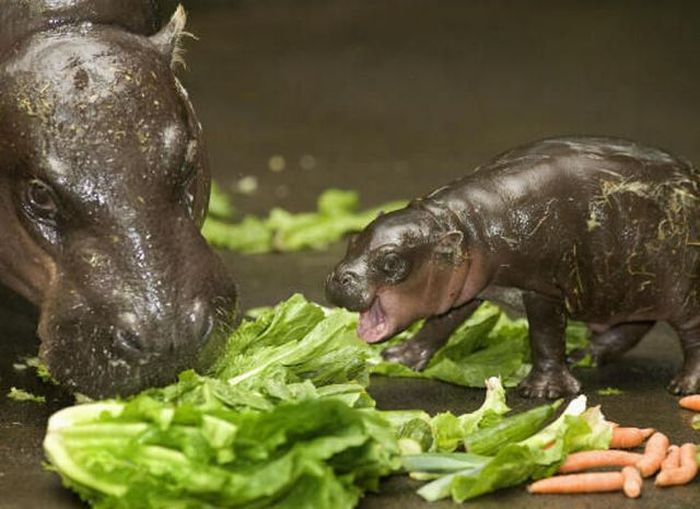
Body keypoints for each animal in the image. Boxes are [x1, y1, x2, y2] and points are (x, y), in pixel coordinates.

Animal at [326, 137, 700, 398]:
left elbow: (545, 337)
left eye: (391, 262)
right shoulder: (465, 287)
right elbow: (439, 324)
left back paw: (683, 387)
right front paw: (399, 358)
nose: (338, 277)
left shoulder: (541, 288)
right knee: (633, 325)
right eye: (352, 240)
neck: (465, 225)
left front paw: (541, 392)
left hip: (683, 293)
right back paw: (585, 355)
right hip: (627, 289)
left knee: (691, 336)